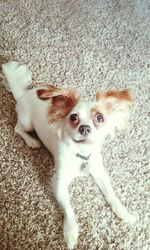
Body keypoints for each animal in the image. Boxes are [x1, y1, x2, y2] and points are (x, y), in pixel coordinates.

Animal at [1, 61, 137, 249]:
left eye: (99, 118)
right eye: (73, 117)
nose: (84, 128)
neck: (81, 154)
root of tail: (22, 95)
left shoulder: (99, 172)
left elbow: (111, 194)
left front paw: (124, 212)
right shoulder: (59, 182)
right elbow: (68, 209)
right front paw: (71, 232)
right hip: (27, 123)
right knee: (17, 129)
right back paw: (32, 141)